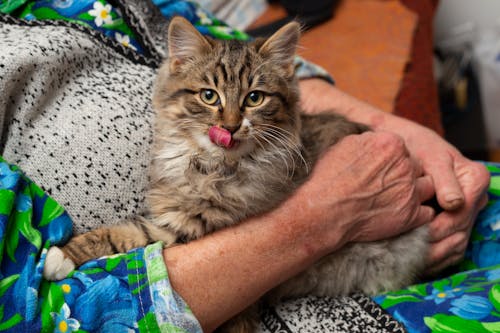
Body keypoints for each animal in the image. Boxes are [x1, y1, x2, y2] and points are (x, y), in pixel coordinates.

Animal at [43, 16, 428, 332]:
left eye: (254, 98)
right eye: (209, 96)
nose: (229, 126)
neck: (208, 165)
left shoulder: (192, 228)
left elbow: (126, 236)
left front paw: (59, 257)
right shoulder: (169, 222)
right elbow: (118, 234)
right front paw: (63, 255)